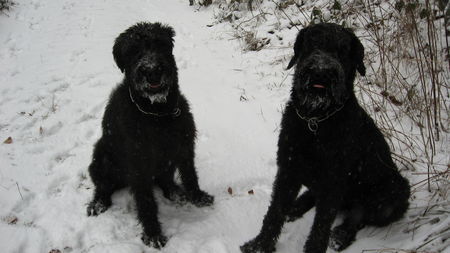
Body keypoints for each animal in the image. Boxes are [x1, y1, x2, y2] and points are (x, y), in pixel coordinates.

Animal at [88, 22, 216, 249]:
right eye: (133, 50)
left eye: (159, 44)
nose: (152, 70)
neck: (157, 114)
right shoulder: (138, 164)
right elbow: (146, 202)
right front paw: (153, 234)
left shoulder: (184, 148)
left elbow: (190, 175)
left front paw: (197, 197)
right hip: (100, 155)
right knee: (103, 186)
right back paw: (98, 203)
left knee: (164, 179)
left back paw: (175, 192)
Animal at [241, 22, 410, 252]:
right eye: (312, 44)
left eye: (343, 50)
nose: (321, 72)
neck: (316, 121)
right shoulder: (288, 168)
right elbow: (275, 211)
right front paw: (259, 245)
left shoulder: (333, 180)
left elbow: (321, 226)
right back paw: (297, 207)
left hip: (395, 190)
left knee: (359, 214)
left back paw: (341, 234)